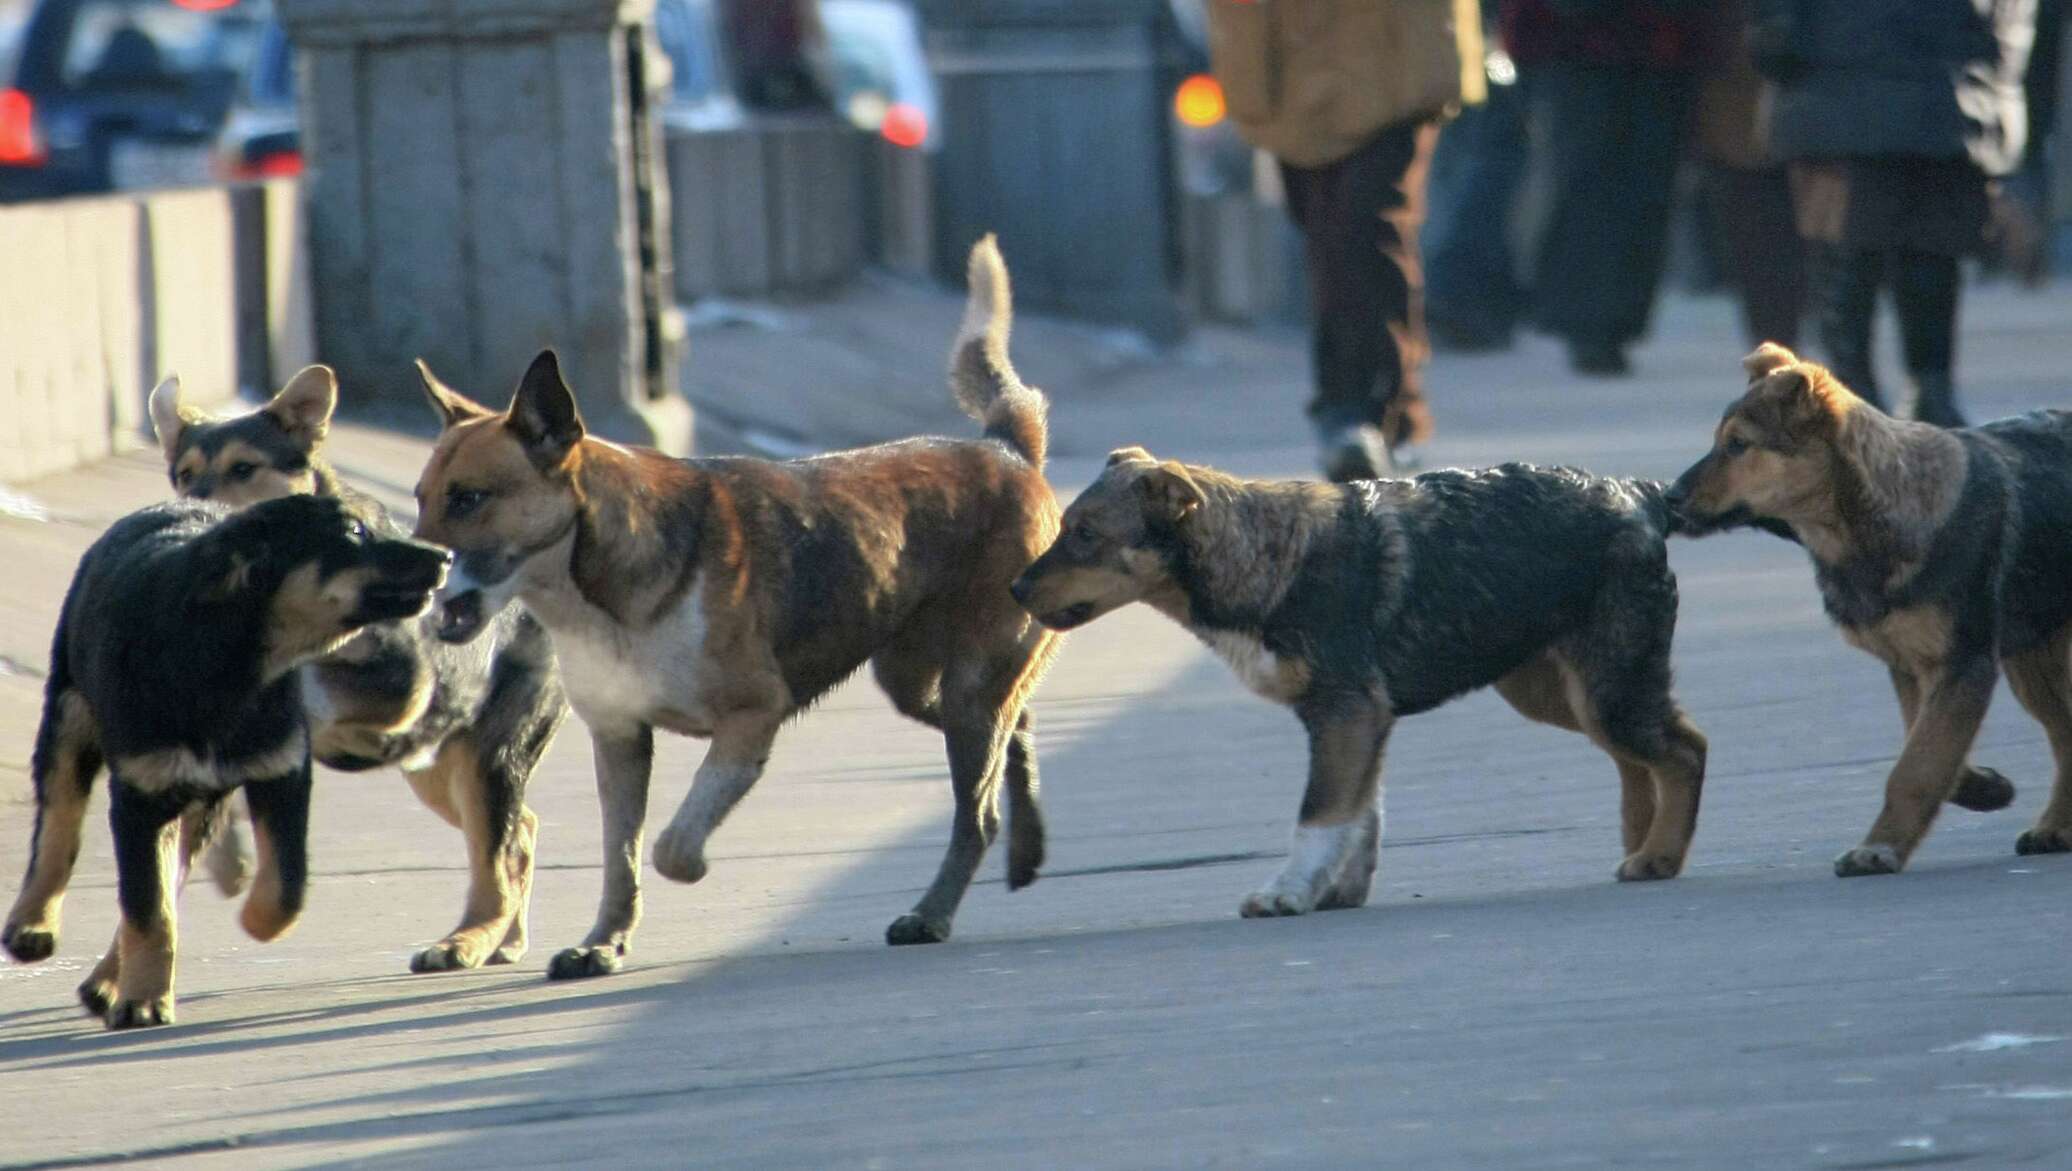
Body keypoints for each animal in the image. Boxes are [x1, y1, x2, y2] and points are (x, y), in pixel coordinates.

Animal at [2, 493, 447, 1023]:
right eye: (354, 532)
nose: (445, 557)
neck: (232, 667)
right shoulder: (140, 797)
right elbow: (147, 909)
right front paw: (144, 1001)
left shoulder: (281, 774)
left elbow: (285, 886)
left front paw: (255, 921)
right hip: (71, 714)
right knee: (60, 823)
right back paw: (33, 926)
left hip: (201, 798)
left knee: (167, 878)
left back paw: (106, 979)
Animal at [147, 364, 571, 969]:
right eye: (184, 475)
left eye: (244, 469)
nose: (196, 511)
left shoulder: (403, 684)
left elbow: (313, 694)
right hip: (436, 769)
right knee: (521, 832)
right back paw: (503, 937)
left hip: (483, 757)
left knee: (498, 852)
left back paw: (465, 941)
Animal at [401, 237, 1060, 978]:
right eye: (421, 497)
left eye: (469, 499)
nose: (410, 572)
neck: (595, 584)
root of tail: (1005, 446)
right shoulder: (619, 739)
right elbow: (620, 856)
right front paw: (604, 941)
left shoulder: (752, 719)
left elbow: (670, 847)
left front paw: (688, 870)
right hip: (920, 683)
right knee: (1018, 725)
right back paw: (1026, 843)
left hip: (969, 687)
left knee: (977, 811)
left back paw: (932, 913)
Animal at [1011, 447, 1707, 911]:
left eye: (1086, 534)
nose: (1015, 589)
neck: (1265, 556)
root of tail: (1640, 495)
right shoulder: (1360, 720)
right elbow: (1359, 814)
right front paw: (1338, 890)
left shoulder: (1345, 711)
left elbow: (1321, 813)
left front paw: (1289, 892)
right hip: (1556, 690)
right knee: (1638, 759)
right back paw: (1643, 847)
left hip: (1605, 685)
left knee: (1684, 750)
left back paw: (1661, 853)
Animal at [1674, 341, 2063, 870]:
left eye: (1737, 445)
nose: (1669, 498)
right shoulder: (1911, 666)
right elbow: (1929, 750)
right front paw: (1983, 787)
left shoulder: (1963, 663)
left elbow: (1915, 766)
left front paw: (1879, 848)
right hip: (2035, 661)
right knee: (2066, 732)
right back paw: (2056, 827)